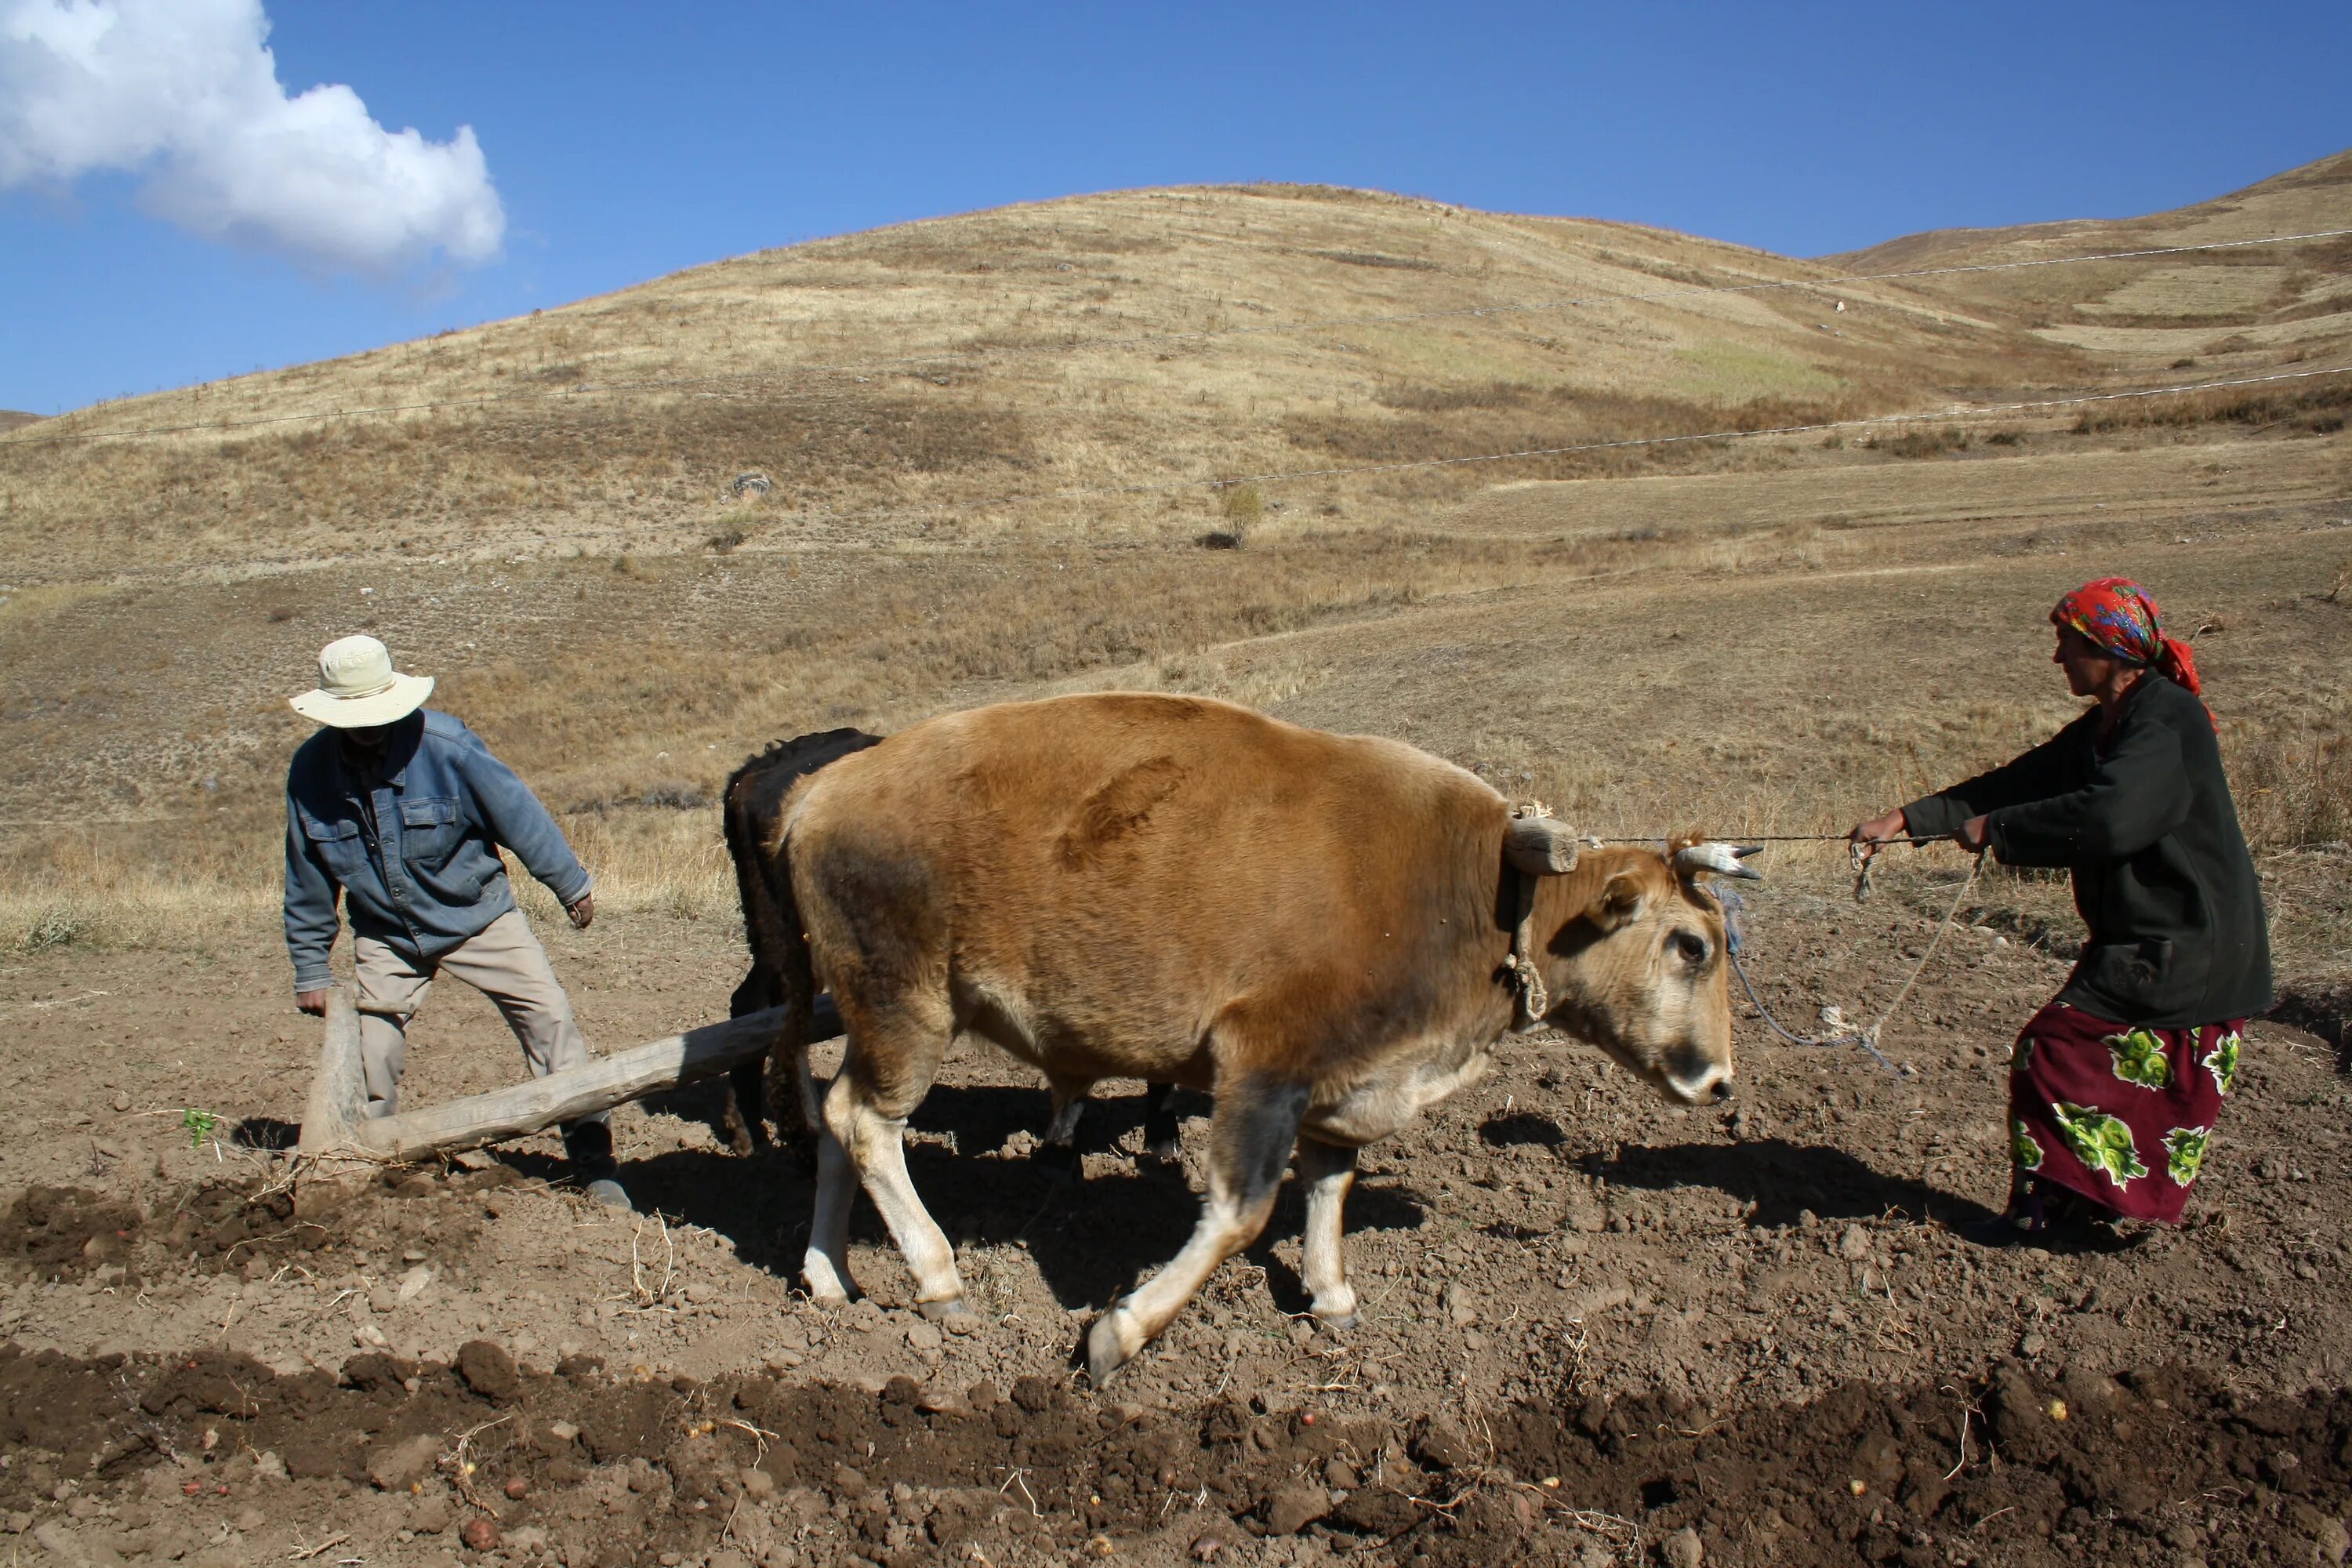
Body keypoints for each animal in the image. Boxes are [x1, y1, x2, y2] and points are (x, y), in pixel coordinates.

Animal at [762, 691, 1759, 1382]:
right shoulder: (1262, 1067)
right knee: (867, 1123)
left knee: (839, 1121)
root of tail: (823, 787)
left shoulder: (1340, 1085)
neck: (1481, 886)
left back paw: (828, 1273)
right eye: (1692, 944)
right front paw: (1119, 1331)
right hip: (909, 1010)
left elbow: (1328, 1188)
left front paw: (1333, 1294)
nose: (1719, 1080)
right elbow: (1241, 1212)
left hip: (876, 1018)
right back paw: (939, 1277)